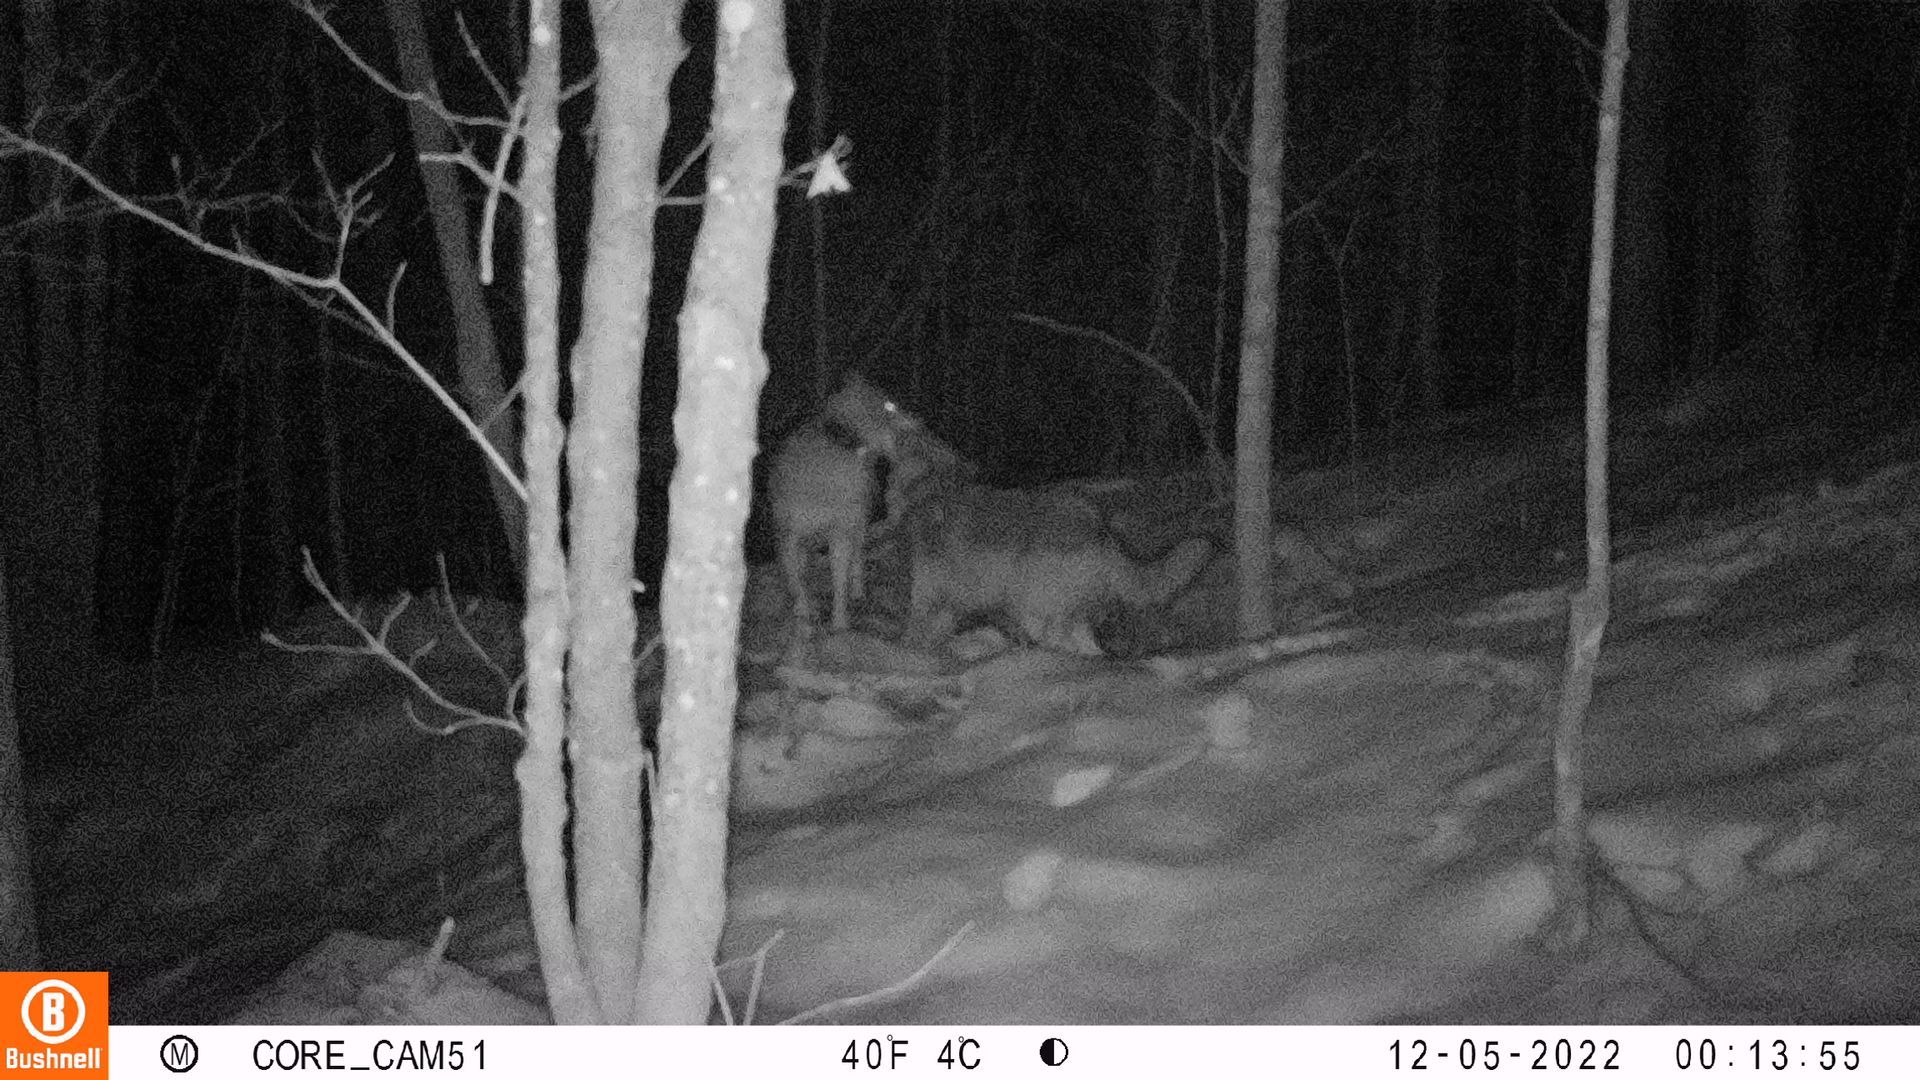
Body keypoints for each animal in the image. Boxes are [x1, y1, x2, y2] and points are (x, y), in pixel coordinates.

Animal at [766, 373, 964, 633]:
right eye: (890, 405)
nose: (920, 422)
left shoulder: (840, 531)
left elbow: (839, 579)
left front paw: (839, 622)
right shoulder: (789, 533)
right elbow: (795, 577)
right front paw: (803, 610)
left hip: (858, 522)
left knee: (857, 555)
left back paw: (857, 591)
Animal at [900, 480, 1213, 656]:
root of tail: (1101, 534)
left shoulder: (939, 595)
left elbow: (921, 625)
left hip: (1038, 598)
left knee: (1054, 637)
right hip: (1061, 605)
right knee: (1080, 642)